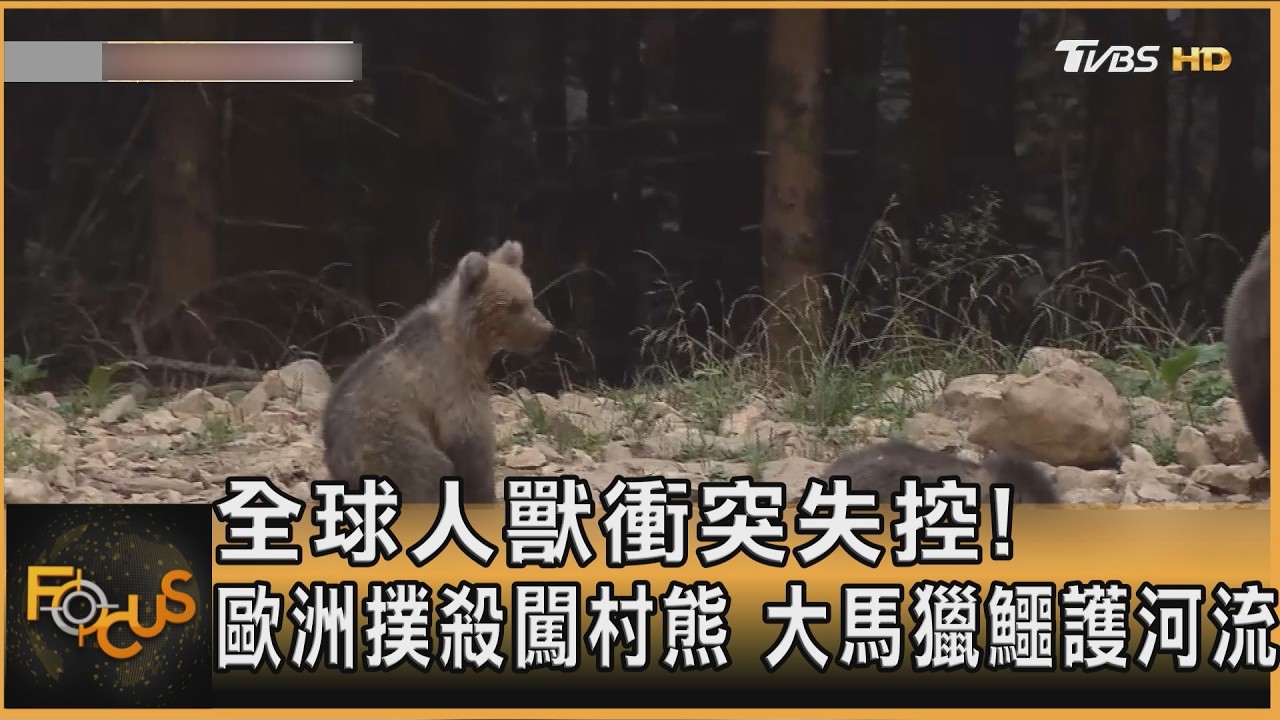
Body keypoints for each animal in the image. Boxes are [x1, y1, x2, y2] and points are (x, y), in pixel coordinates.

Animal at [321, 240, 553, 504]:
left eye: (529, 296)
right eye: (514, 305)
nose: (546, 329)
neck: (468, 343)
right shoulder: (451, 382)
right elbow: (470, 442)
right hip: (389, 441)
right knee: (426, 472)